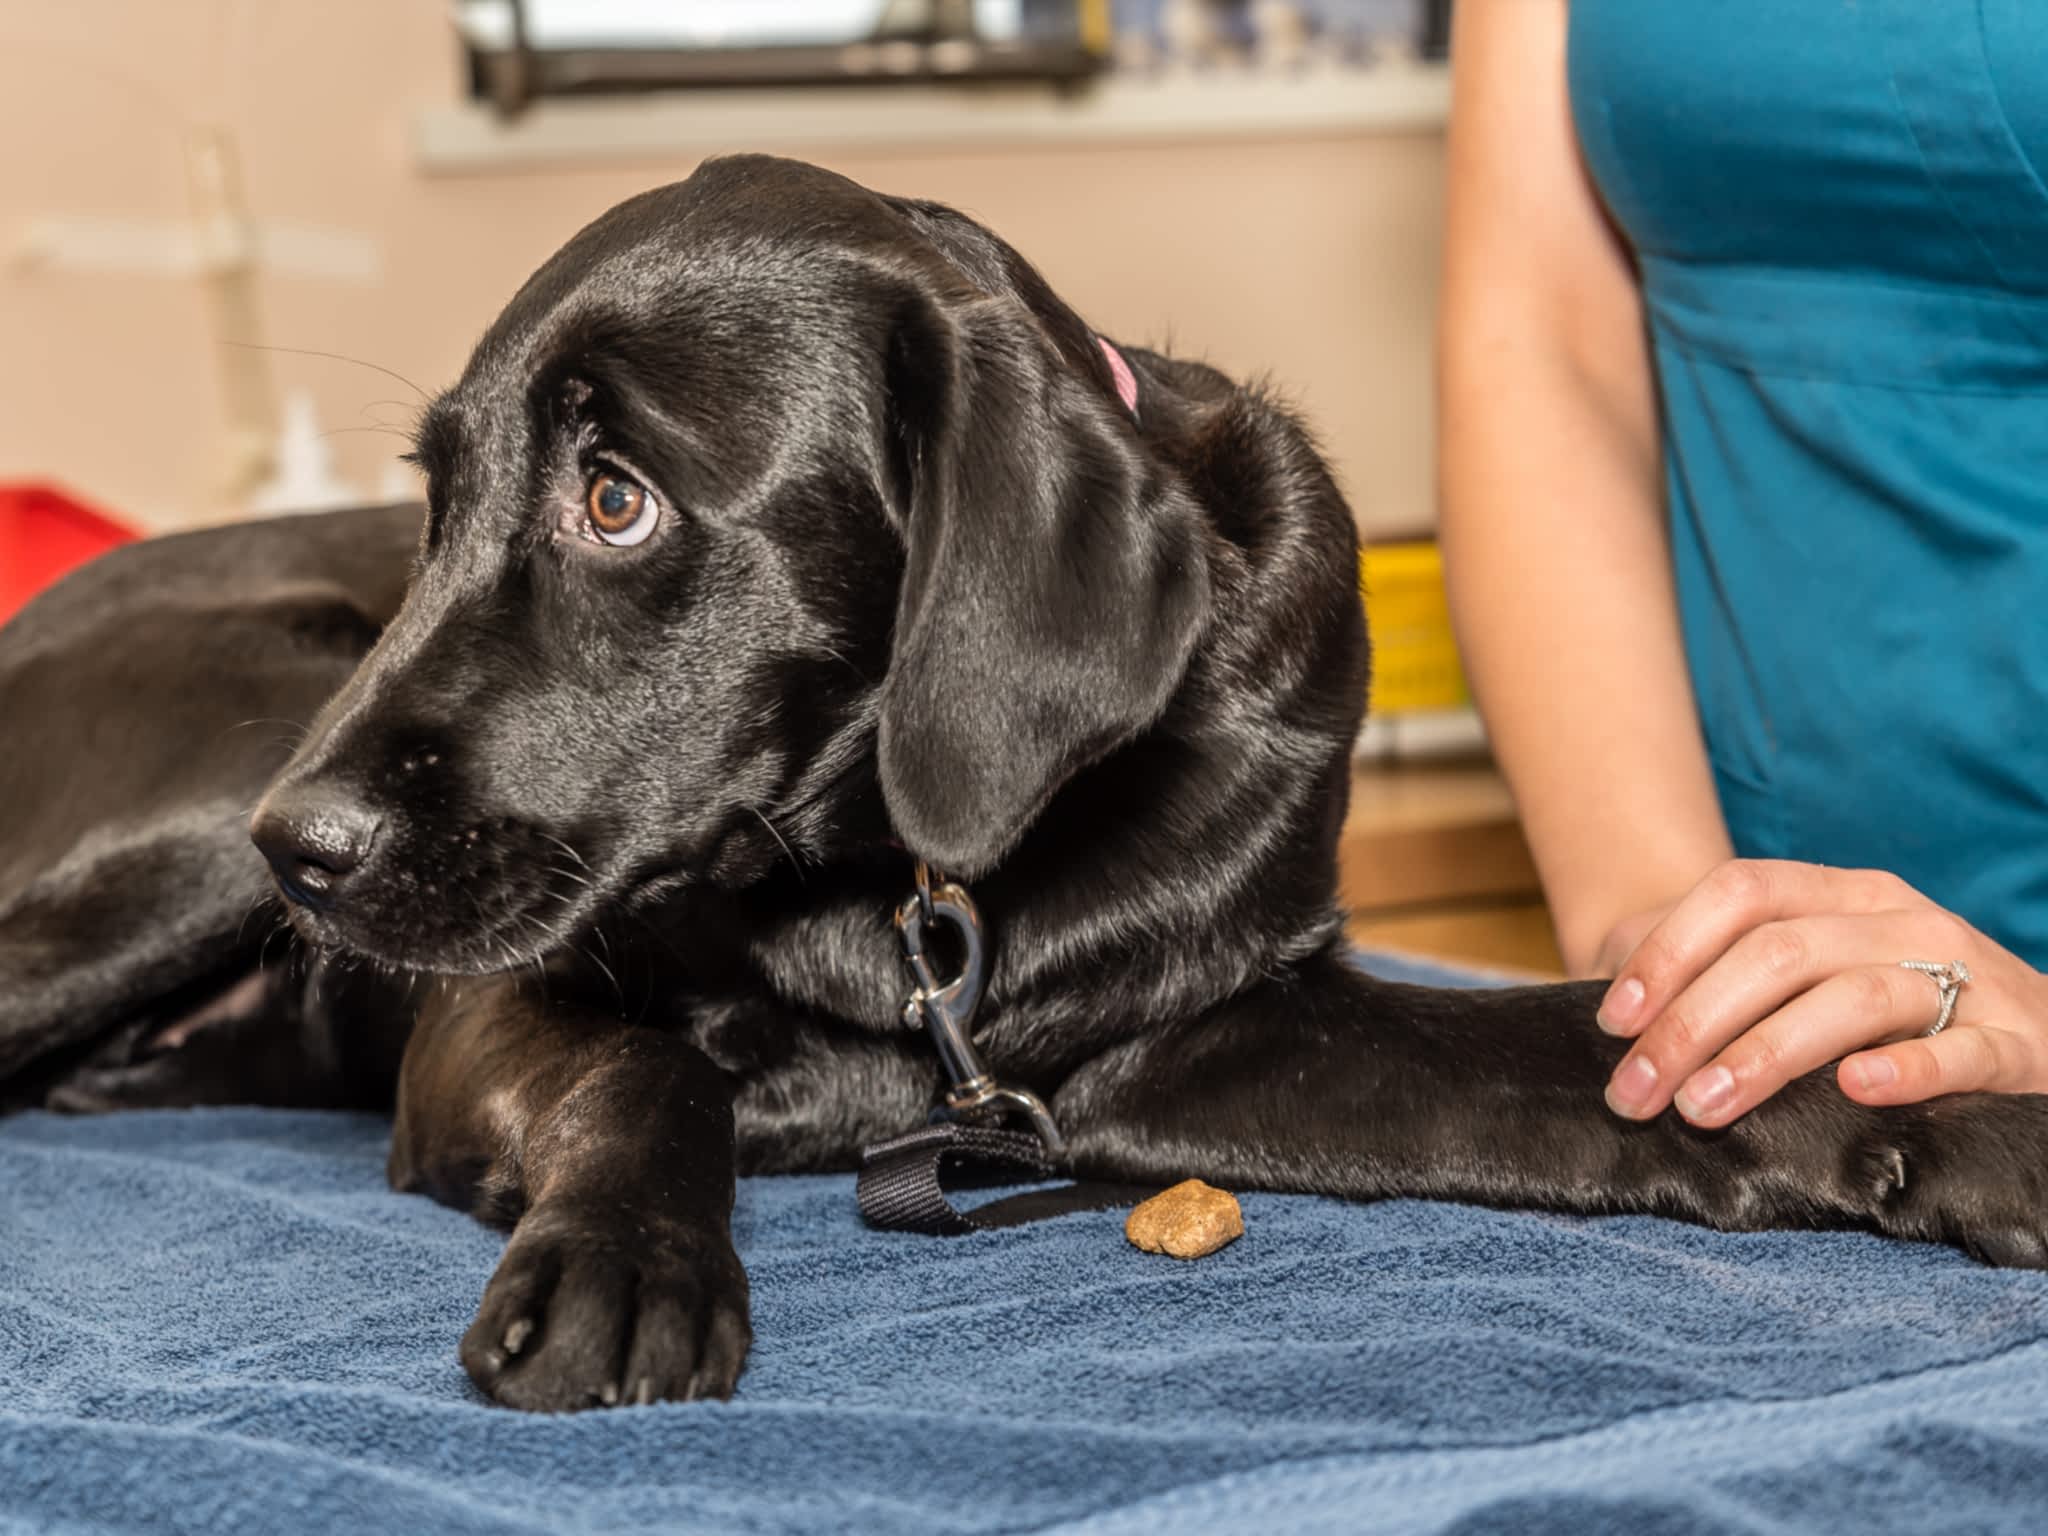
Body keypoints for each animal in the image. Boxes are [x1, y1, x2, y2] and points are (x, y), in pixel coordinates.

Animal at [4, 153, 2048, 1409]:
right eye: (438, 503)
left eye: (616, 498)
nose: (306, 851)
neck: (893, 875)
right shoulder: (490, 1012)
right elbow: (652, 1070)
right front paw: (626, 1261)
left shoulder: (1206, 1033)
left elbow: (1588, 1050)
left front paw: (1954, 1122)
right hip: (232, 752)